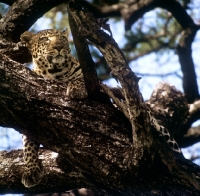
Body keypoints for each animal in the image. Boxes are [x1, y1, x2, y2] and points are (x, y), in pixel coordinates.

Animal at [20, 29, 87, 188]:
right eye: (45, 39)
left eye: (62, 38)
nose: (58, 47)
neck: (55, 73)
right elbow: (28, 144)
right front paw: (30, 170)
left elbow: (79, 78)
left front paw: (76, 89)